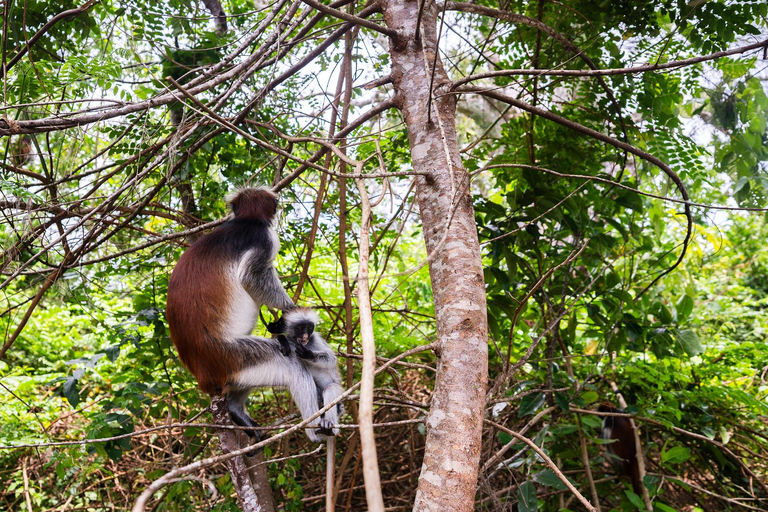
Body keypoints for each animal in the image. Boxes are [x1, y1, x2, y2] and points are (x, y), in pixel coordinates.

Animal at [166, 188, 326, 444]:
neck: (244, 221)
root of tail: (202, 374)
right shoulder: (264, 238)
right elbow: (252, 277)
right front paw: (289, 311)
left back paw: (235, 411)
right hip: (233, 355)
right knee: (292, 365)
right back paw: (314, 430)